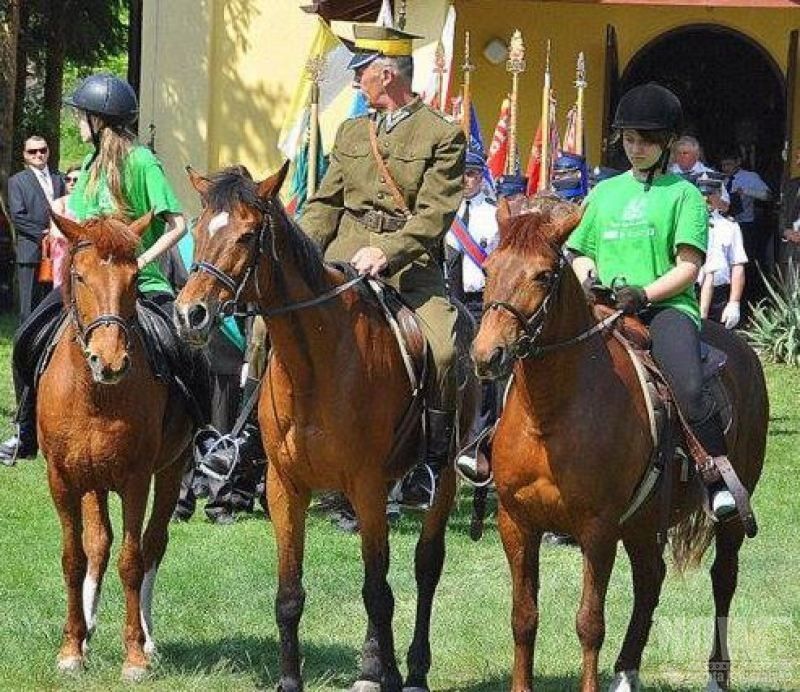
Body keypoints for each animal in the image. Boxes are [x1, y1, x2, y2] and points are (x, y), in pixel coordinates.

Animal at [39, 214, 194, 680]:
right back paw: (88, 631)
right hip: (92, 480)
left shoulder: (136, 480)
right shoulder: (62, 478)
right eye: (79, 276)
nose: (108, 361)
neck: (95, 396)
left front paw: (135, 655)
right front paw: (72, 647)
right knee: (98, 545)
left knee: (153, 544)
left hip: (173, 469)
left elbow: (132, 560)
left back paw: (148, 636)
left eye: (134, 279)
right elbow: (75, 558)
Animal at [173, 164, 476, 692]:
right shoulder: (285, 487)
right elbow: (290, 595)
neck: (316, 362)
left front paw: (386, 672)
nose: (191, 314)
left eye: (247, 235)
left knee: (425, 566)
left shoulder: (368, 487)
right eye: (199, 229)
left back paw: (413, 670)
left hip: (442, 480)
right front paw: (293, 680)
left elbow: (378, 591)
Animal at [472, 200, 764, 692]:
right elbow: (523, 617)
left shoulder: (598, 528)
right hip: (643, 522)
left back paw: (716, 676)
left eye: (544, 275)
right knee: (650, 579)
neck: (550, 417)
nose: (486, 354)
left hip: (726, 516)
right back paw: (627, 671)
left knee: (723, 578)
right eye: (490, 267)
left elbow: (590, 622)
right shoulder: (516, 523)